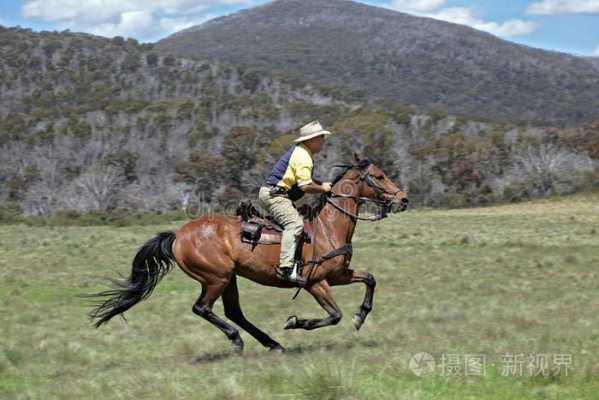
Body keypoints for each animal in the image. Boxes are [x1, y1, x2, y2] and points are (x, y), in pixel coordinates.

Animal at [88, 154, 408, 354]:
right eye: (379, 176)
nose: (403, 199)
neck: (326, 227)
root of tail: (178, 235)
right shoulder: (316, 283)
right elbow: (334, 315)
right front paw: (297, 322)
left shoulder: (339, 274)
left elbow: (370, 279)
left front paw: (361, 315)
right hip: (216, 278)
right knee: (203, 308)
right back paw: (238, 340)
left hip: (229, 278)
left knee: (233, 312)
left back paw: (272, 344)